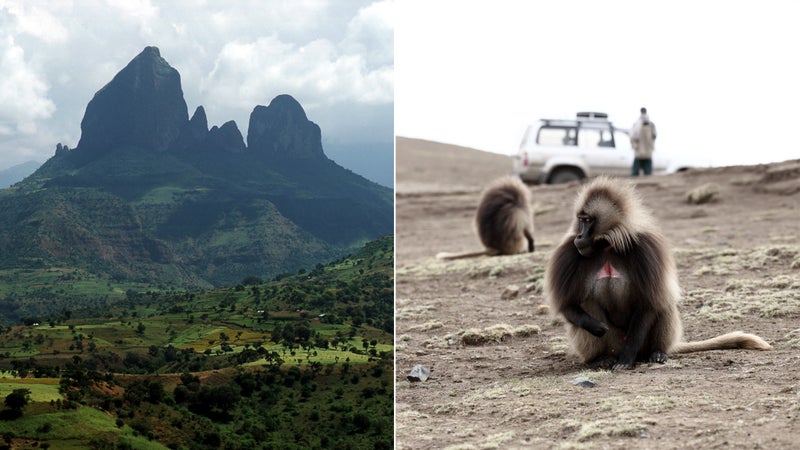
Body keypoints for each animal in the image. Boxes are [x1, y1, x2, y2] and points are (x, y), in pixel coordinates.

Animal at [548, 176, 772, 370]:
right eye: (580, 220)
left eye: (587, 220)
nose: (579, 236)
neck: (607, 244)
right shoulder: (568, 254)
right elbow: (569, 306)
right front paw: (598, 328)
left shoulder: (646, 250)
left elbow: (649, 303)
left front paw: (626, 359)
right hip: (613, 343)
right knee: (587, 302)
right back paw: (598, 359)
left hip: (642, 343)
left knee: (663, 304)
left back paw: (657, 353)